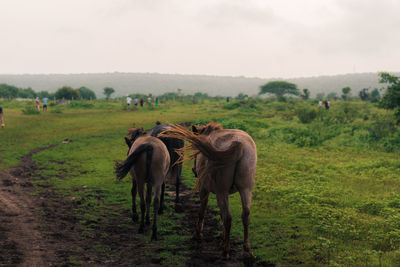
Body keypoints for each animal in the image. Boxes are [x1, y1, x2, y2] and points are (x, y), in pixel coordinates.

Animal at [159, 123, 256, 260]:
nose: (194, 170)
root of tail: (238, 143)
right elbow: (220, 215)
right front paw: (223, 239)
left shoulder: (204, 189)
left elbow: (202, 211)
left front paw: (198, 234)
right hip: (245, 189)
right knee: (245, 215)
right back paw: (246, 250)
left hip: (222, 191)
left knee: (228, 217)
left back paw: (225, 252)